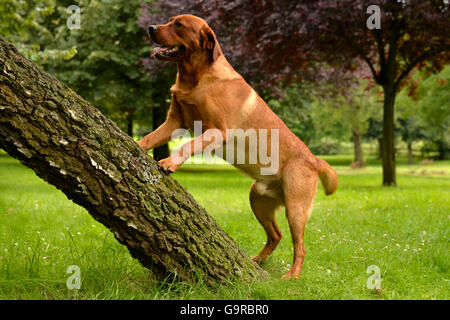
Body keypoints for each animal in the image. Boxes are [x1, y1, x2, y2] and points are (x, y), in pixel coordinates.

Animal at [138, 14, 338, 280]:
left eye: (178, 25)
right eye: (170, 20)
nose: (150, 28)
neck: (196, 78)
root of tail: (314, 159)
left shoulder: (216, 131)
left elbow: (187, 147)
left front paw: (170, 163)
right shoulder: (174, 122)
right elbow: (149, 138)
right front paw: (136, 144)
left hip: (295, 208)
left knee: (300, 245)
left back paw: (292, 275)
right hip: (258, 198)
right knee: (276, 235)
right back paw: (257, 262)